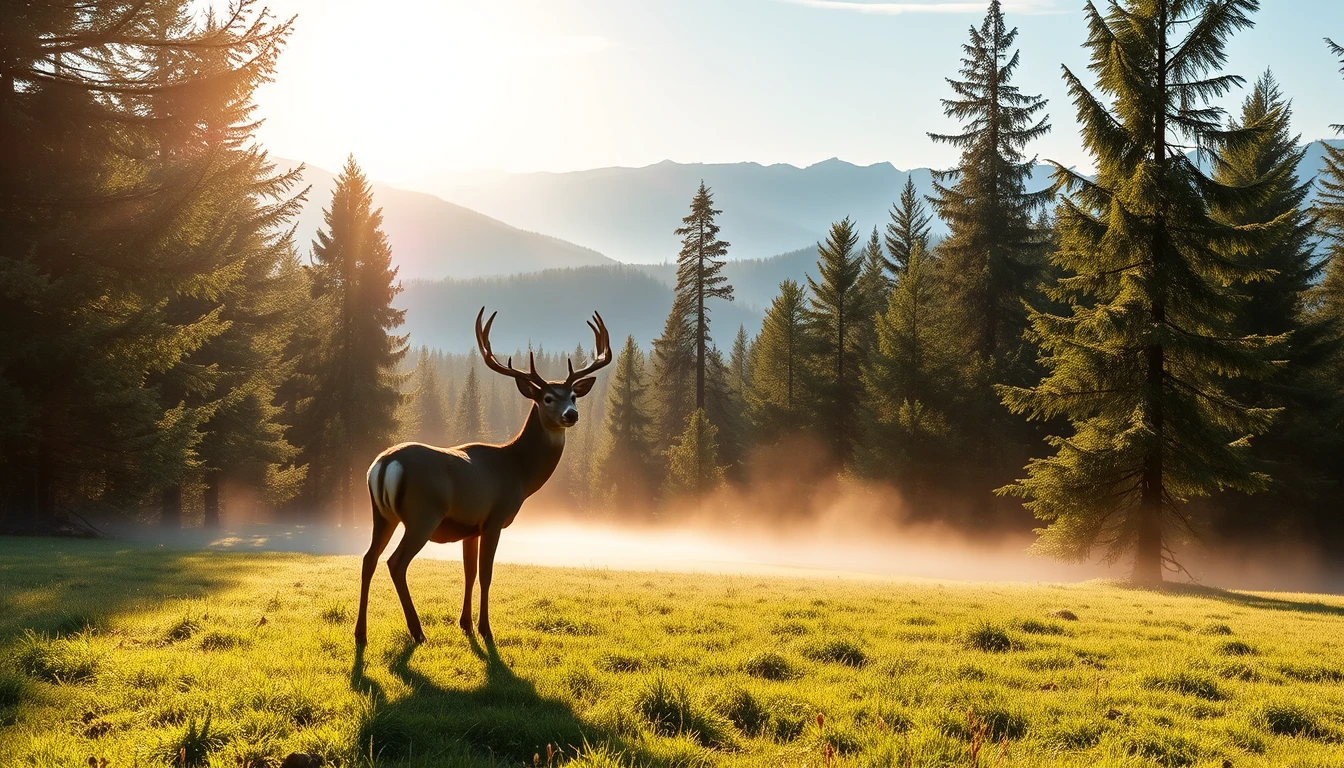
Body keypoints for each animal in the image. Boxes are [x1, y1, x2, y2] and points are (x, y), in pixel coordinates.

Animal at [354, 307, 612, 646]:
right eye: (547, 398)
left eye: (573, 395)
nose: (572, 415)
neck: (518, 471)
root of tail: (385, 464)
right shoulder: (494, 517)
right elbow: (487, 574)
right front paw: (486, 628)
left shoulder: (470, 528)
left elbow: (469, 572)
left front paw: (464, 623)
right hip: (423, 514)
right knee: (396, 562)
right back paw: (417, 631)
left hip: (381, 514)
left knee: (368, 559)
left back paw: (361, 633)